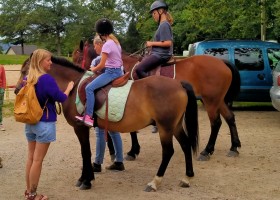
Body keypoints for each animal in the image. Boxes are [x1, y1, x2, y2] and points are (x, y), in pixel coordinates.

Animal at [15, 55, 199, 191]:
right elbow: (87, 152)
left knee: (168, 151)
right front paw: (86, 177)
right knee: (186, 144)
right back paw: (187, 177)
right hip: (175, 126)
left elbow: (85, 152)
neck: (74, 86)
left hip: (165, 127)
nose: (16, 90)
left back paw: (155, 182)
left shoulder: (80, 128)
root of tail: (179, 84)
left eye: (24, 71)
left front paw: (86, 180)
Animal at [73, 40, 242, 161]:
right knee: (230, 118)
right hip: (218, 100)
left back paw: (207, 150)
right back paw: (234, 147)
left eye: (78, 57)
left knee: (216, 123)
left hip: (211, 101)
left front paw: (133, 151)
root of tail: (222, 62)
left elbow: (132, 129)